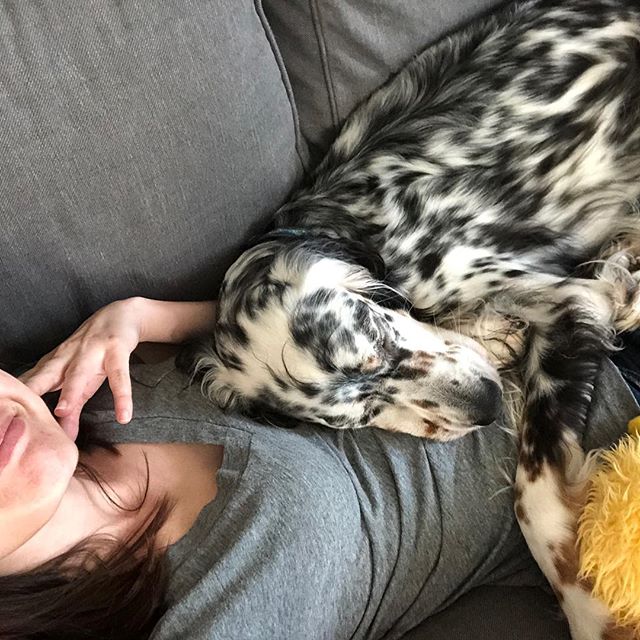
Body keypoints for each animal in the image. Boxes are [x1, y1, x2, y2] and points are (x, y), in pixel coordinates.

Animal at [195, 2, 640, 636]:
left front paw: (592, 612)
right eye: (363, 417)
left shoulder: (571, 298)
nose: (485, 405)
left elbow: (532, 496)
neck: (363, 226)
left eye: (380, 333)